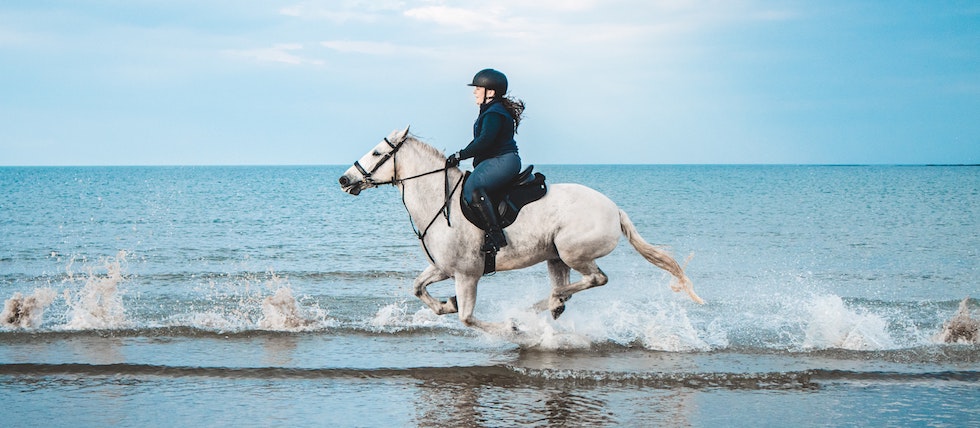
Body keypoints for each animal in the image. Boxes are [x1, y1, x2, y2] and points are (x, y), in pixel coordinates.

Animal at [338, 127, 704, 335]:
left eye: (377, 152)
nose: (344, 179)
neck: (440, 202)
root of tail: (614, 209)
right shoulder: (443, 268)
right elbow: (418, 289)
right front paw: (446, 304)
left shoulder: (467, 274)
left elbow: (467, 319)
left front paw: (508, 327)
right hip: (556, 258)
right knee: (568, 289)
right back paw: (548, 306)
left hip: (572, 251)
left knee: (595, 279)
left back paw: (537, 308)